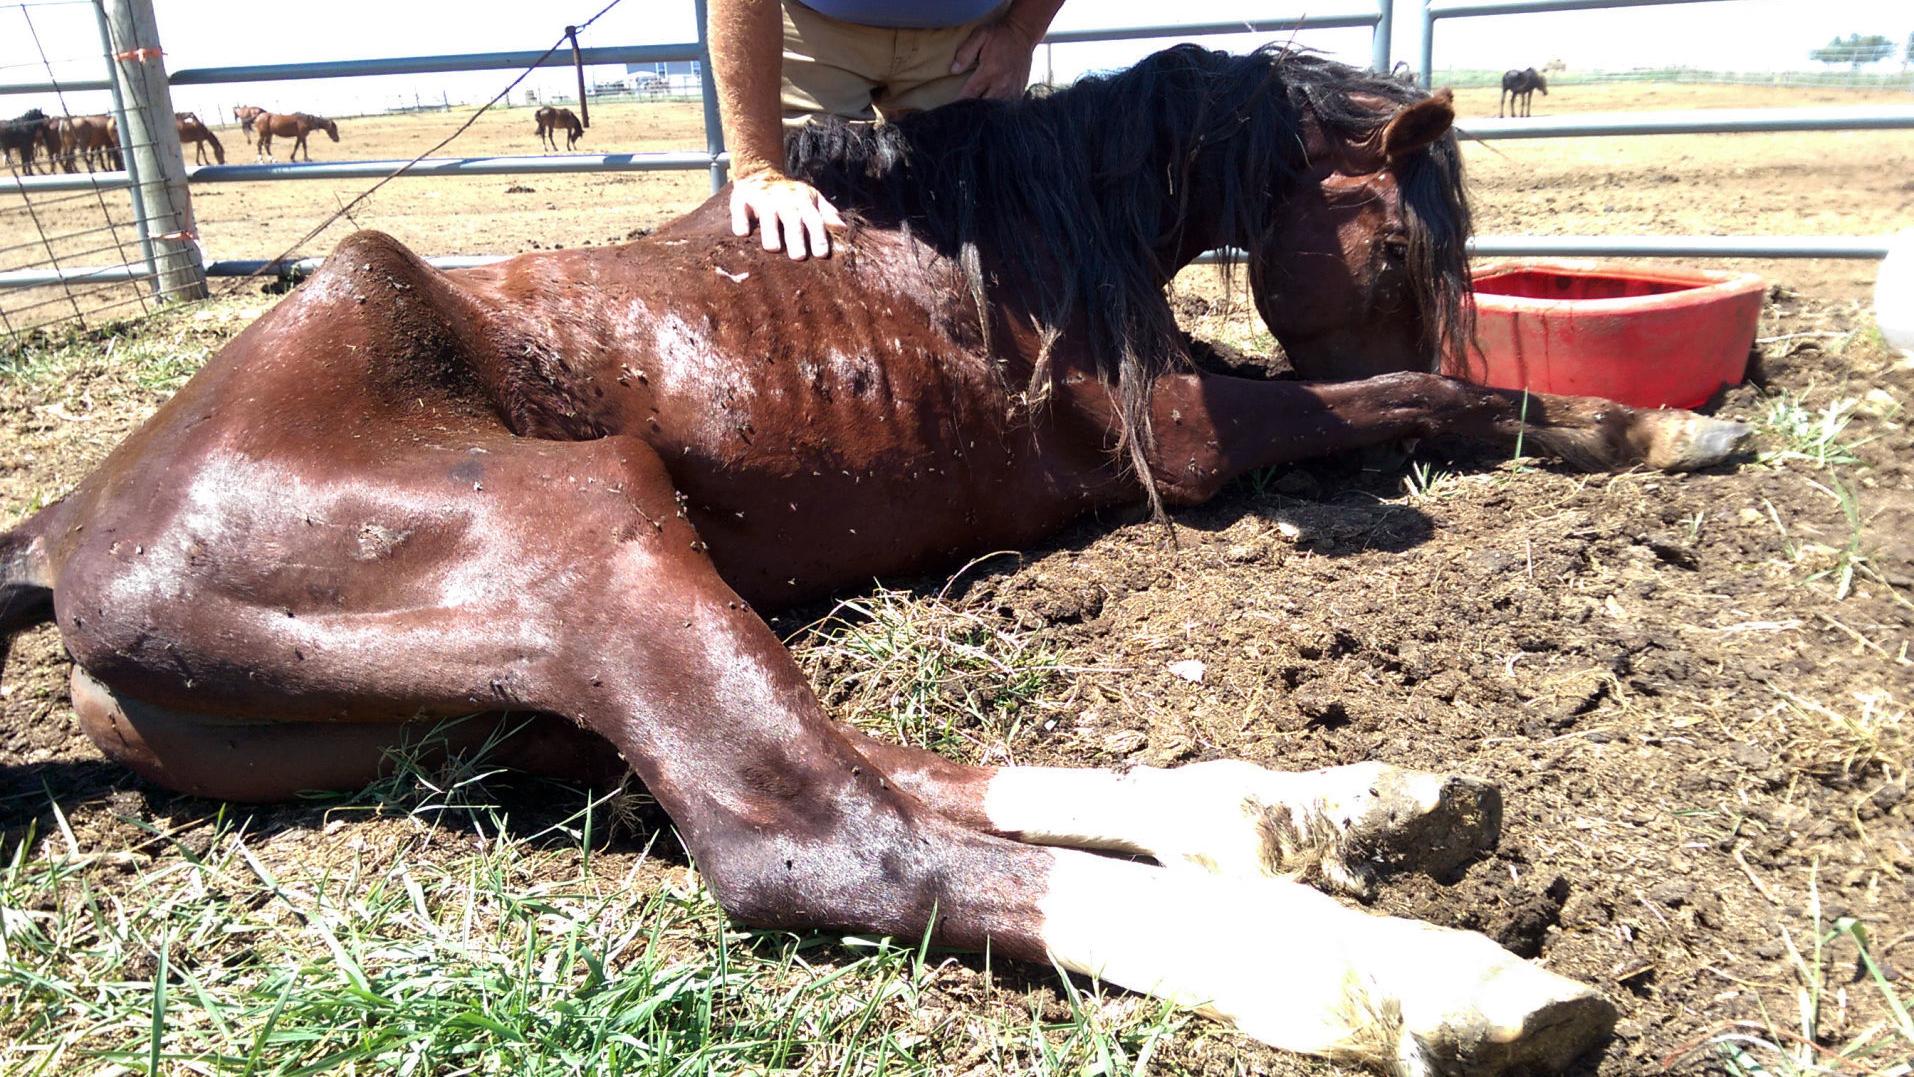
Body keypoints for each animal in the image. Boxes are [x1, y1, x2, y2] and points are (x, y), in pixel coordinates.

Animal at [0, 46, 1748, 1074]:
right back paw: (1425, 985)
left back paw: (1325, 814)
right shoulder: (1190, 443)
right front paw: (1652, 431)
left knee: (881, 771)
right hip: (589, 534)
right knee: (824, 838)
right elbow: (1414, 402)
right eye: (1395, 241)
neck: (1022, 238)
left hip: (523, 693)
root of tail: (75, 516)